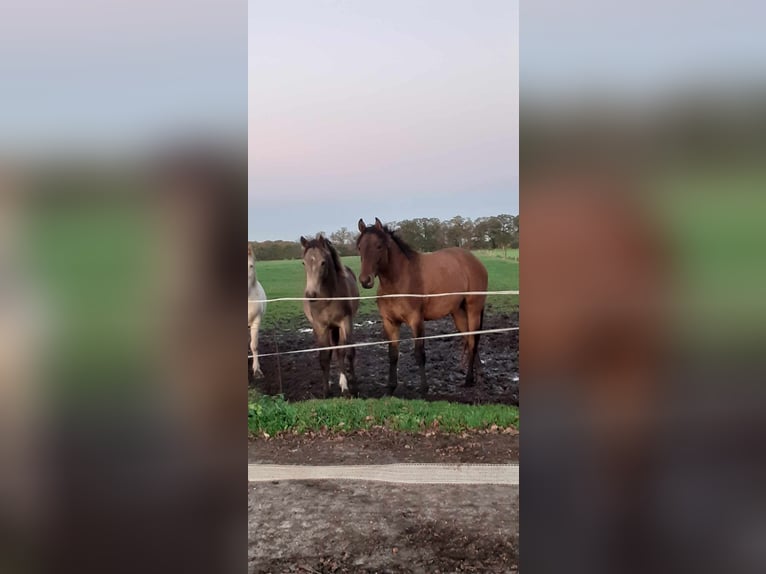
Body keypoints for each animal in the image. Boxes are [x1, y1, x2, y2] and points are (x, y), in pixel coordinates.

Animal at [300, 236, 360, 398]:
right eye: (304, 262)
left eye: (323, 262)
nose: (311, 294)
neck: (327, 299)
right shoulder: (320, 327)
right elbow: (324, 356)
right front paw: (326, 390)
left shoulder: (344, 323)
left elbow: (342, 352)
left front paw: (346, 387)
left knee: (349, 351)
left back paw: (351, 380)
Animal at [356, 218, 488, 394]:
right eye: (359, 247)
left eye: (379, 246)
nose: (365, 280)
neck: (399, 281)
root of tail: (474, 261)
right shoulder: (390, 322)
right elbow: (393, 354)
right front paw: (390, 388)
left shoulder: (416, 320)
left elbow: (419, 353)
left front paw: (424, 388)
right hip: (458, 313)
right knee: (469, 339)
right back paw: (477, 376)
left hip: (473, 310)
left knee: (473, 341)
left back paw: (468, 380)